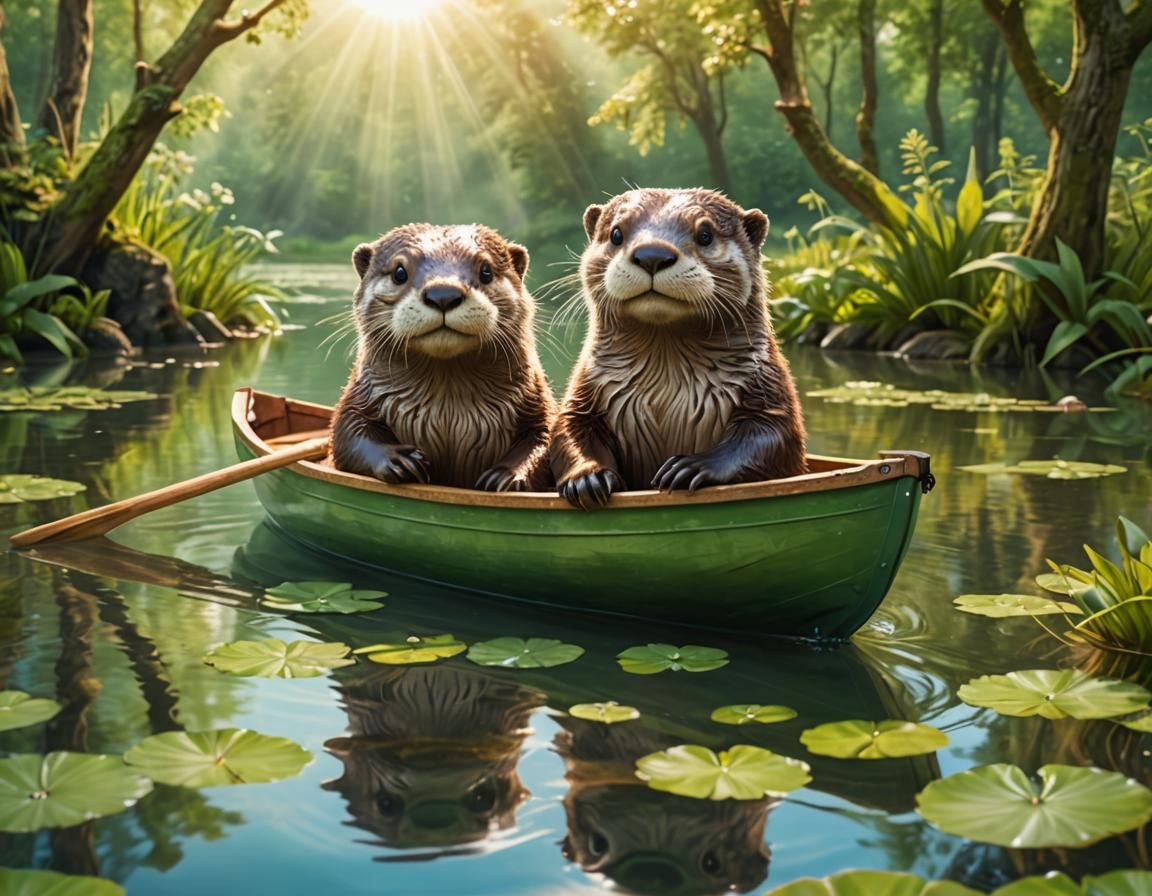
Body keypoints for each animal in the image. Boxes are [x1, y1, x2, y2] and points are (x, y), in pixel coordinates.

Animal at [331, 224, 555, 491]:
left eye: (486, 271)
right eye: (399, 272)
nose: (443, 294)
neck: (449, 414)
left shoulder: (536, 398)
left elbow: (545, 434)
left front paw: (507, 475)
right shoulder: (360, 396)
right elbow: (346, 434)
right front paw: (398, 460)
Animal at [551, 188, 807, 509]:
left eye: (706, 234)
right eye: (616, 234)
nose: (652, 255)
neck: (667, 386)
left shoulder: (767, 384)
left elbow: (774, 435)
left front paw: (693, 467)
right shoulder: (586, 387)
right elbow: (569, 427)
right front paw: (588, 477)